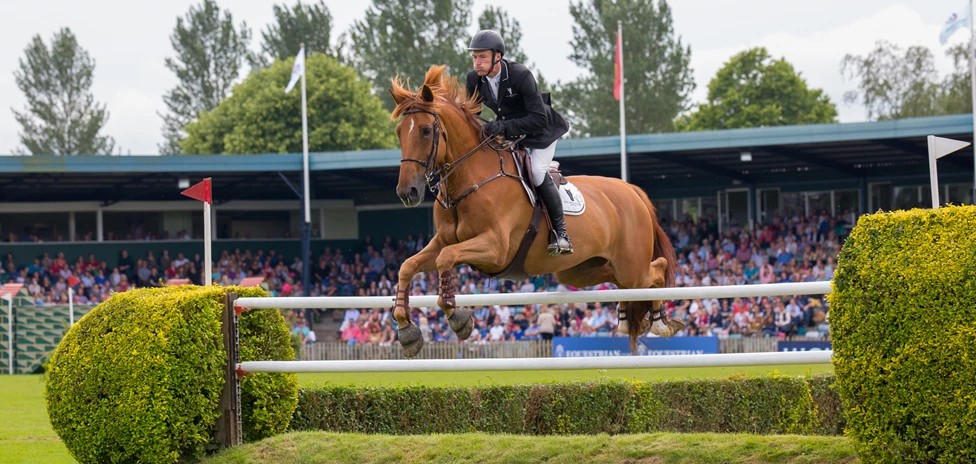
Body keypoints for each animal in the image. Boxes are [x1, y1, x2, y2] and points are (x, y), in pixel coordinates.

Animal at [388, 65, 684, 357]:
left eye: (426, 130)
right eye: (400, 132)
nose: (407, 192)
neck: (471, 179)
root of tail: (632, 190)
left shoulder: (495, 248)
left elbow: (445, 258)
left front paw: (458, 318)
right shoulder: (443, 241)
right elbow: (408, 265)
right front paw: (406, 329)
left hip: (631, 266)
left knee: (657, 270)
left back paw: (660, 322)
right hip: (577, 271)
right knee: (618, 280)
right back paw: (624, 318)